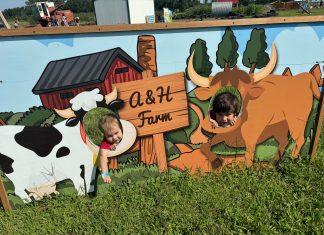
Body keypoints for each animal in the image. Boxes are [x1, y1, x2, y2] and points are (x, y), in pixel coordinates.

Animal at [0, 88, 136, 202]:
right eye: (79, 114)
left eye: (104, 105)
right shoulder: (70, 165)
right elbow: (79, 182)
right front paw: (82, 197)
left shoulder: (90, 163)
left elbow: (90, 180)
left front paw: (91, 195)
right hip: (18, 175)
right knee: (19, 191)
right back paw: (31, 203)